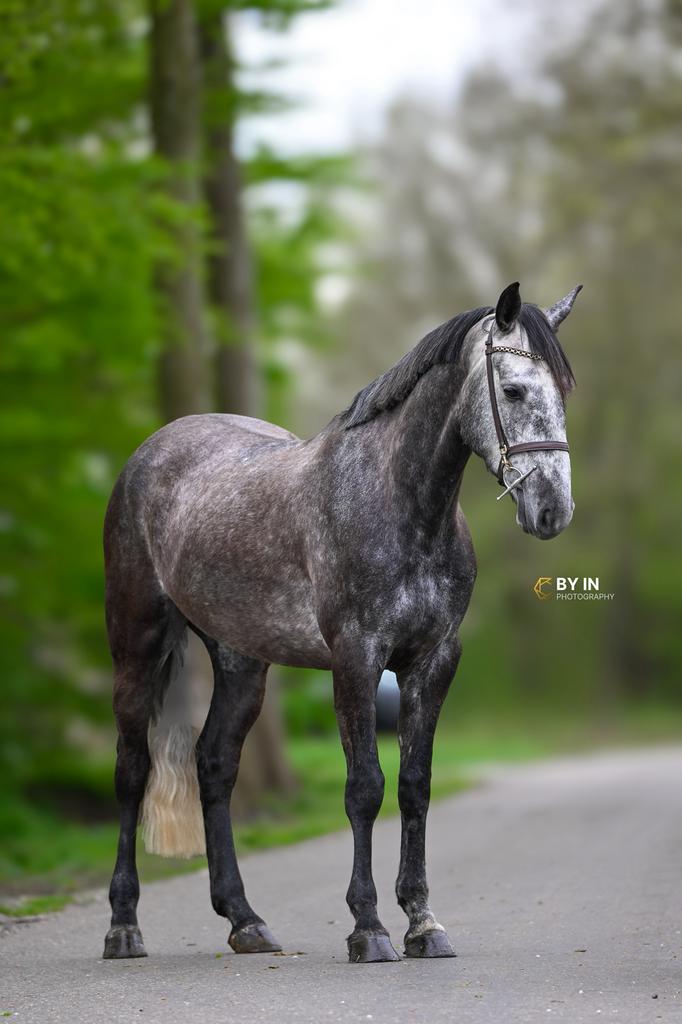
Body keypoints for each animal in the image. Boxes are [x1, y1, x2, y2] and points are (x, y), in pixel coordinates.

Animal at [102, 281, 580, 964]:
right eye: (513, 390)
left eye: (564, 389)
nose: (551, 511)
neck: (400, 503)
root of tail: (152, 450)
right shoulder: (356, 658)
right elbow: (365, 788)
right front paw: (369, 928)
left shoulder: (433, 662)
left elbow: (414, 786)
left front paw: (423, 925)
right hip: (135, 643)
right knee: (132, 770)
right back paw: (123, 927)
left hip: (241, 660)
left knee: (214, 765)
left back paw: (246, 921)